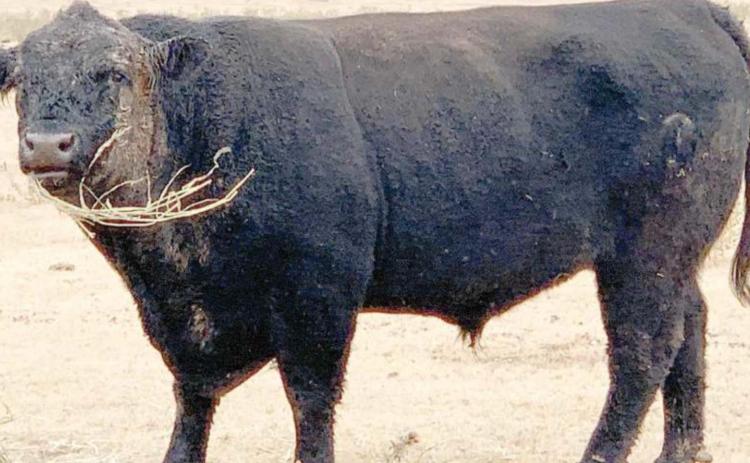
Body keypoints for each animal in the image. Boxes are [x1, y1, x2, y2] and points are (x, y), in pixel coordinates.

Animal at [1, 0, 749, 461]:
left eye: (113, 73)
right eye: (23, 82)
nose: (47, 144)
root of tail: (693, 14)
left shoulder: (318, 298)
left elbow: (311, 401)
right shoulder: (185, 318)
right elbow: (192, 397)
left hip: (644, 257)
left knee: (642, 355)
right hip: (672, 259)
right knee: (690, 329)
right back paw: (682, 450)